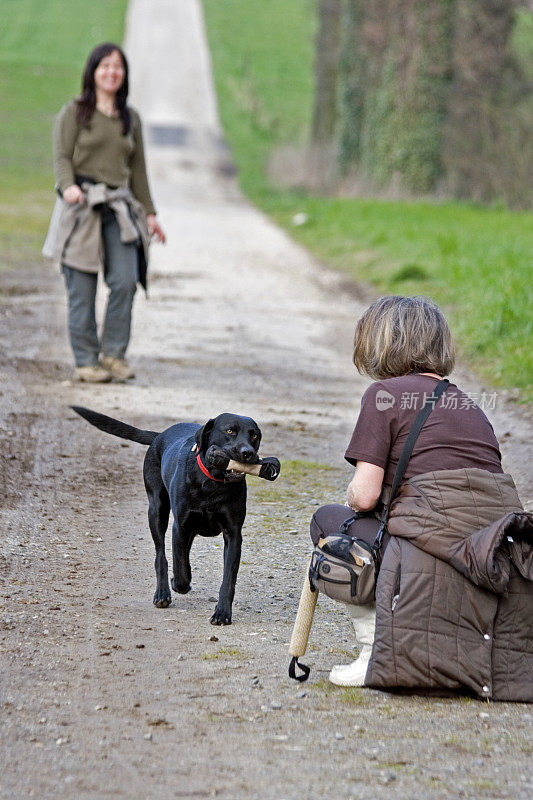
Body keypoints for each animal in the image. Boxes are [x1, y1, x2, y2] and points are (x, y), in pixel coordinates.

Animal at [70, 406, 278, 624]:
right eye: (230, 431)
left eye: (254, 435)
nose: (248, 453)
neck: (213, 483)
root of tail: (159, 435)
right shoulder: (181, 526)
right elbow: (179, 570)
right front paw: (179, 584)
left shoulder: (233, 534)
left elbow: (228, 579)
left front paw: (222, 613)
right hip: (157, 511)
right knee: (161, 555)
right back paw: (162, 593)